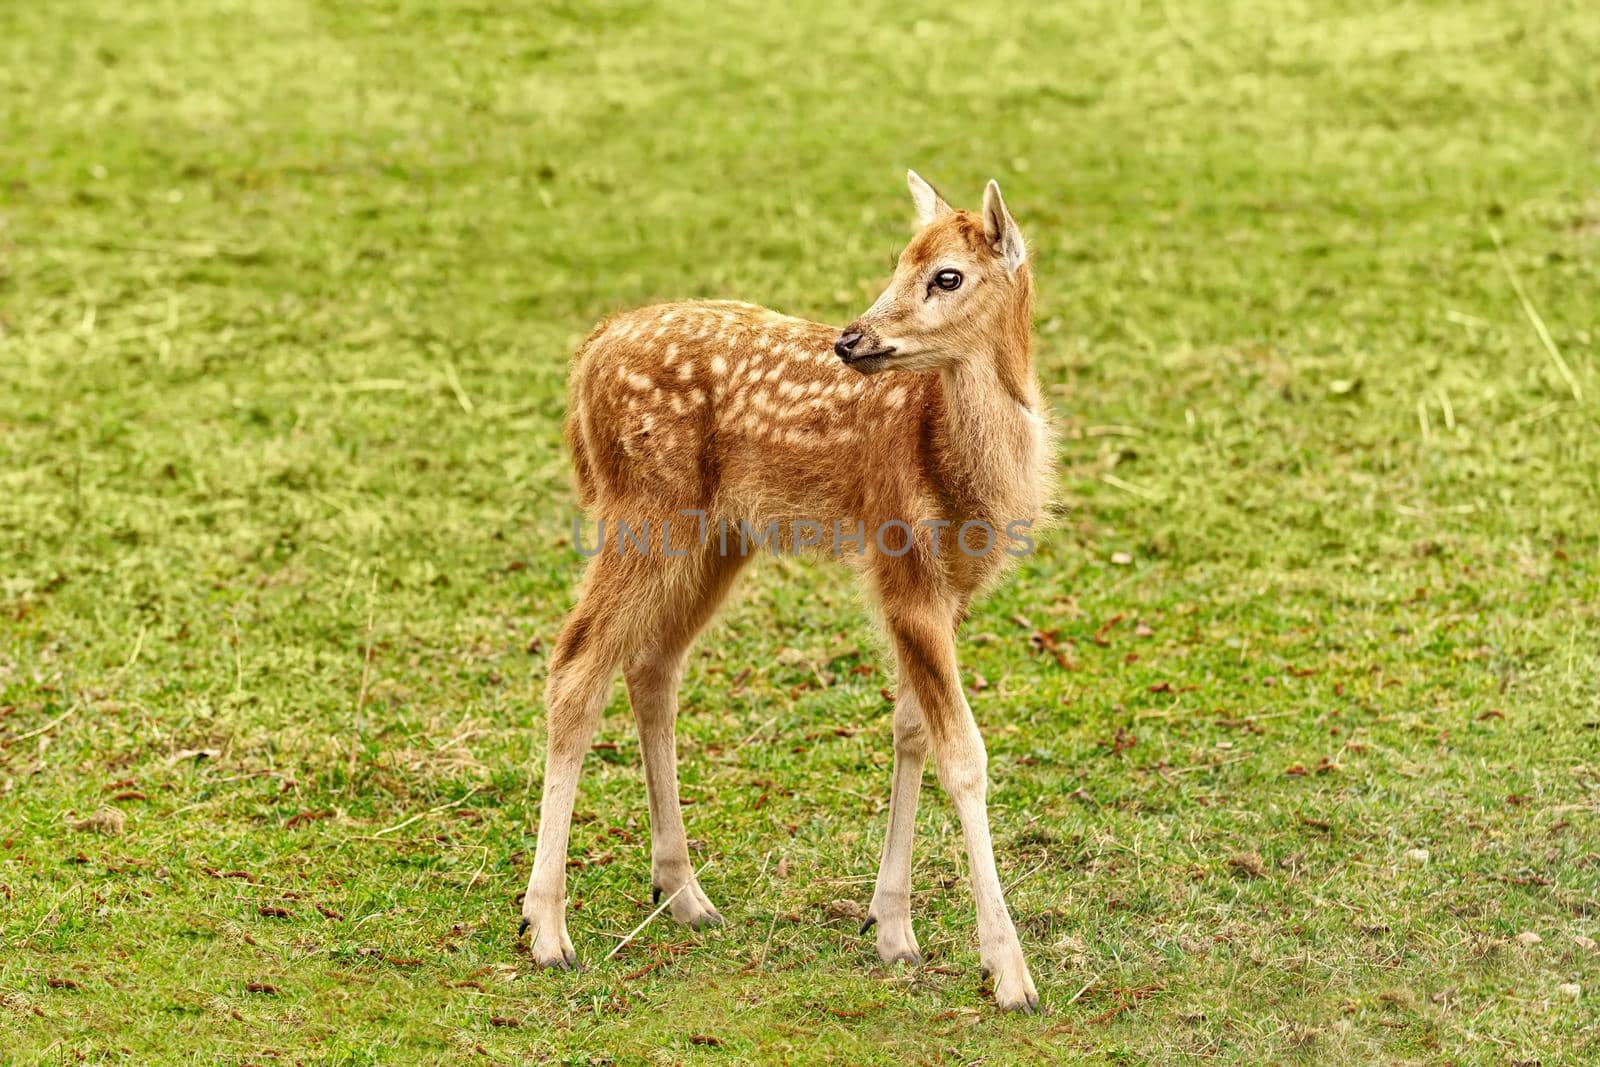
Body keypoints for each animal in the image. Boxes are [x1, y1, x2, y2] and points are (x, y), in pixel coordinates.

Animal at [518, 171, 1056, 1017]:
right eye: (899, 260)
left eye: (947, 275)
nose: (852, 338)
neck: (970, 470)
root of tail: (588, 356)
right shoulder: (903, 565)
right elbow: (963, 753)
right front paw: (1009, 972)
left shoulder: (948, 588)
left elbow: (910, 730)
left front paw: (891, 927)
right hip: (643, 511)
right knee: (576, 665)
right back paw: (546, 930)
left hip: (717, 536)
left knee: (652, 665)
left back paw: (684, 893)